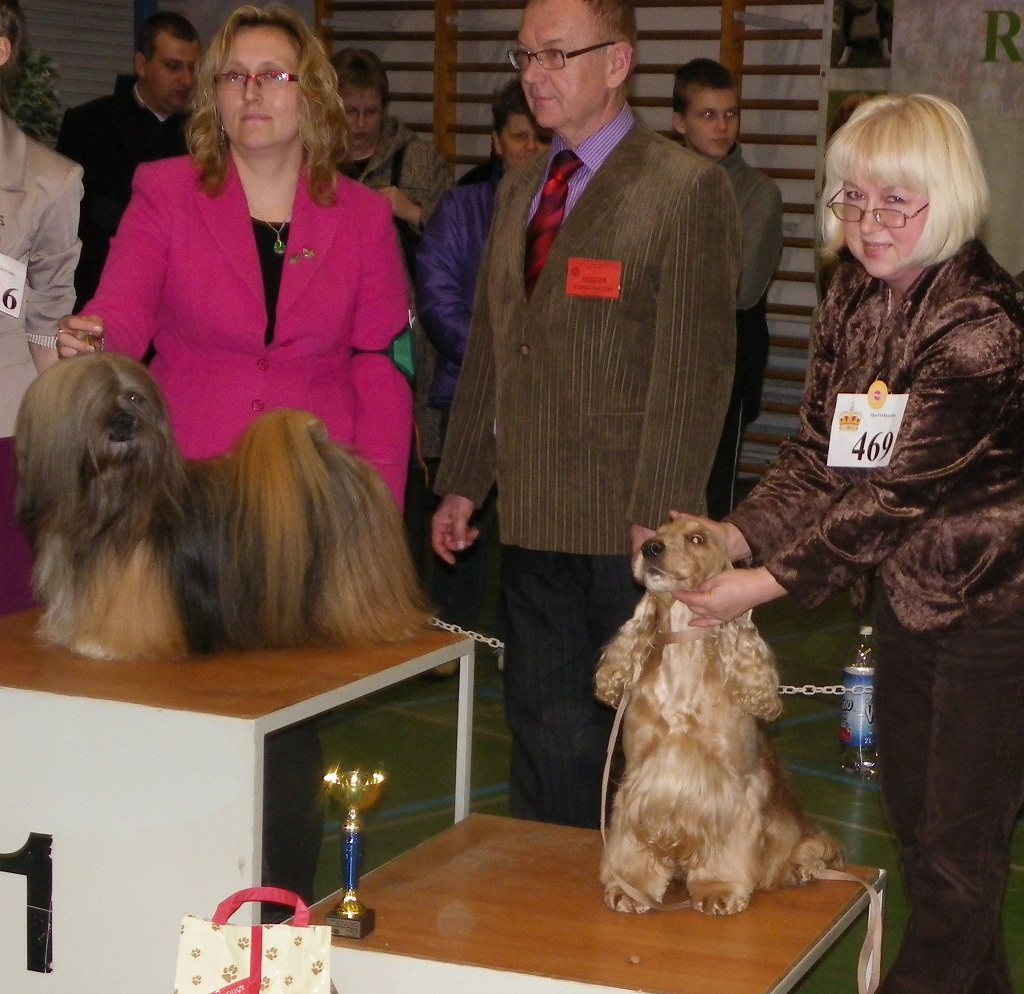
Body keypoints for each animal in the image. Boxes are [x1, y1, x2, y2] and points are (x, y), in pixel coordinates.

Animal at [14, 353, 428, 660]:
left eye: (134, 398)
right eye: (94, 398)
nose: (125, 423)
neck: (110, 497)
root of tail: (333, 459)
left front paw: (103, 644)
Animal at [595, 516, 842, 916]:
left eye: (697, 538)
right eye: (658, 533)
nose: (650, 548)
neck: (684, 650)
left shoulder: (737, 785)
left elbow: (728, 848)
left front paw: (718, 890)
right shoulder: (637, 777)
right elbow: (631, 841)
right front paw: (630, 888)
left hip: (801, 833)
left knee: (814, 848)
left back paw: (801, 867)